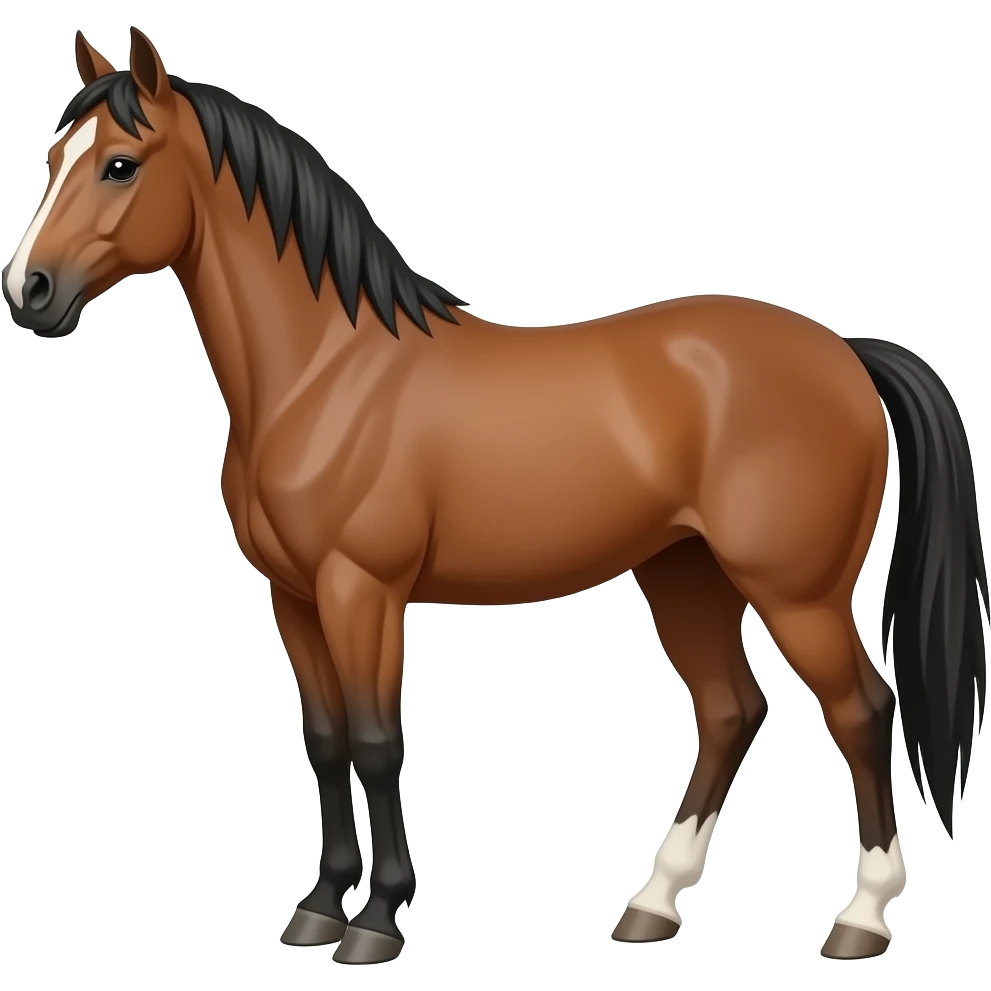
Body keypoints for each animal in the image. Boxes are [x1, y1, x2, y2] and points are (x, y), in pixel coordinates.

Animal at [2, 27, 987, 967]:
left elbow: (376, 741)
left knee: (861, 710)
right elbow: (324, 740)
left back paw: (858, 918)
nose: (29, 291)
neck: (326, 372)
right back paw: (651, 904)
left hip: (795, 592)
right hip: (684, 574)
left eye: (120, 164)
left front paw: (378, 921)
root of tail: (845, 352)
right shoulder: (293, 596)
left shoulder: (363, 590)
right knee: (729, 710)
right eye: (53, 158)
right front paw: (318, 907)